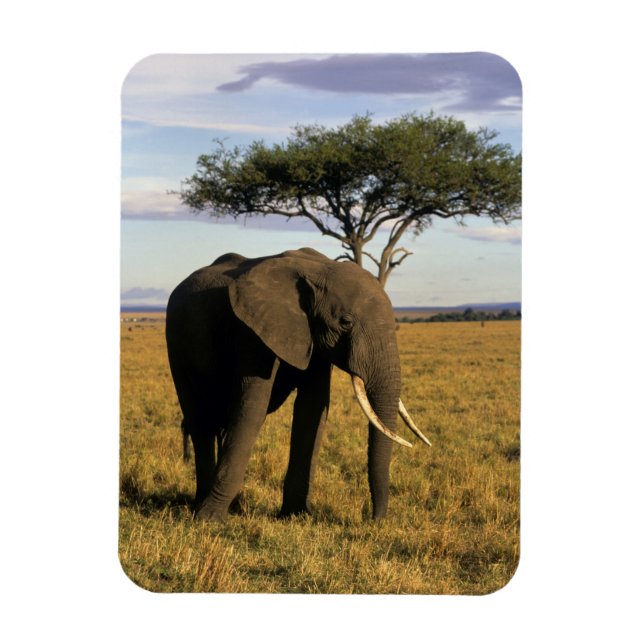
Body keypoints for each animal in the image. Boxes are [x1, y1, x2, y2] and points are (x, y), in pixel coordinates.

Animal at [165, 247, 431, 522]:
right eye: (345, 322)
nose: (373, 519)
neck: (317, 270)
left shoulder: (312, 336)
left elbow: (313, 408)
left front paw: (298, 515)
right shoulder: (252, 330)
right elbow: (252, 408)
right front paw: (210, 520)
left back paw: (234, 506)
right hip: (175, 344)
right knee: (200, 421)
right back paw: (202, 506)